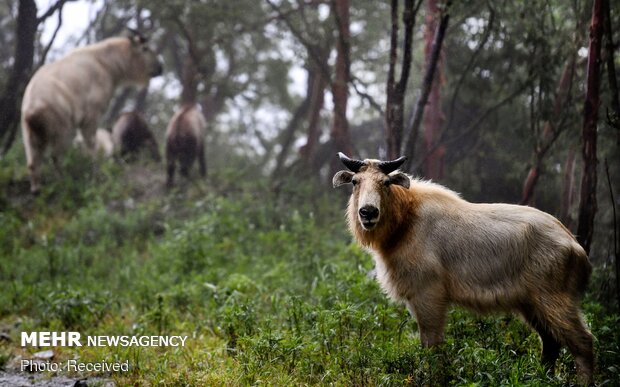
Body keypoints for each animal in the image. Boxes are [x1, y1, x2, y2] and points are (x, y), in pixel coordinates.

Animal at [332, 152, 592, 384]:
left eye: (385, 183)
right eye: (355, 182)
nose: (368, 212)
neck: (405, 221)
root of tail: (575, 245)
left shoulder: (429, 294)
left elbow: (431, 345)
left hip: (554, 299)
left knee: (583, 343)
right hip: (530, 303)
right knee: (550, 343)